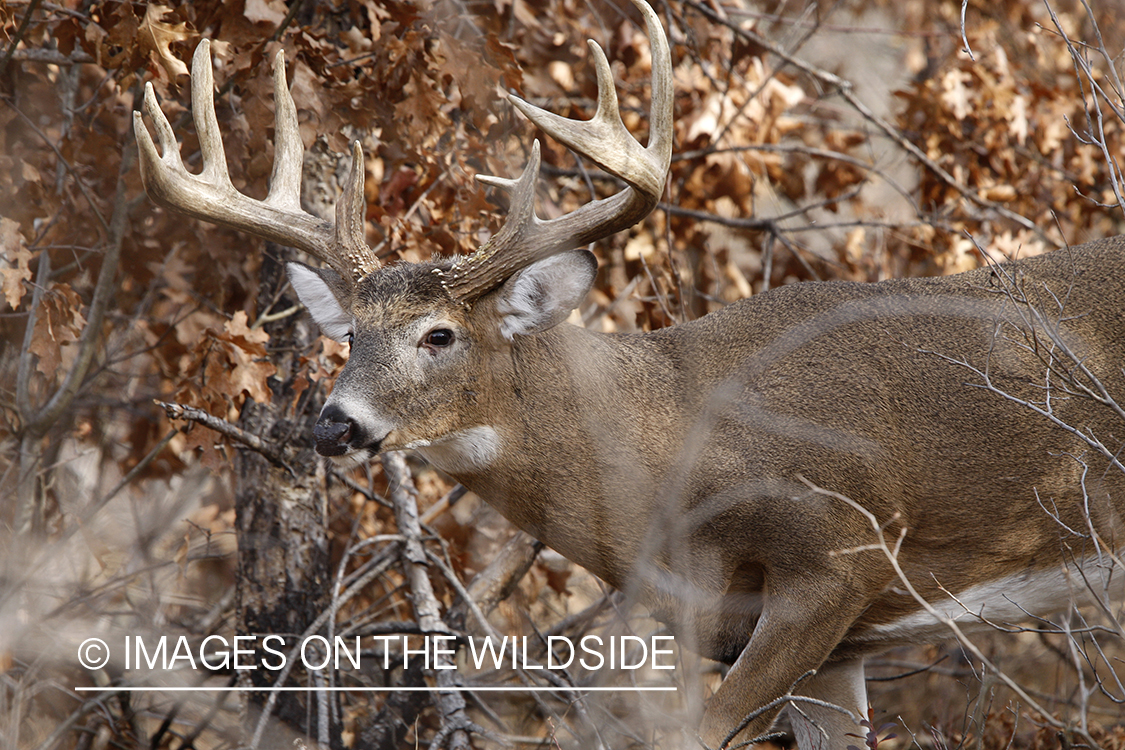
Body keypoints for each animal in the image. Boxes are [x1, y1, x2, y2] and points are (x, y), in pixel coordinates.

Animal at [133, 2, 1125, 746]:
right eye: (347, 338)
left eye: (439, 334)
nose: (333, 423)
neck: (673, 445)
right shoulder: (824, 642)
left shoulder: (844, 553)